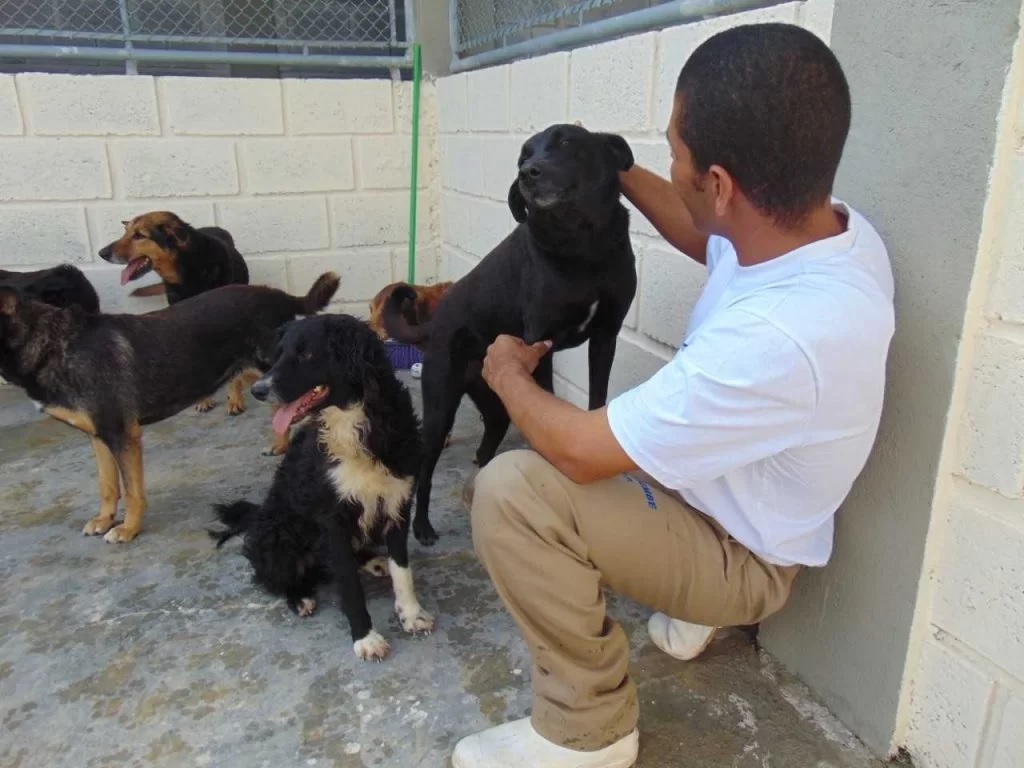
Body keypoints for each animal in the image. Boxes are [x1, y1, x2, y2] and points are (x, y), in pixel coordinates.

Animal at [99, 210, 258, 421]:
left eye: (139, 235)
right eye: (125, 232)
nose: (102, 253)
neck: (188, 273)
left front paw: (234, 400)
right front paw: (203, 399)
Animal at [207, 313, 432, 663]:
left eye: (307, 354)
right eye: (278, 354)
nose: (258, 389)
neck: (357, 423)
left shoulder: (397, 501)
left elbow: (402, 569)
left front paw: (411, 613)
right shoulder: (332, 520)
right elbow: (350, 586)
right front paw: (365, 637)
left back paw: (372, 560)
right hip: (277, 535)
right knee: (274, 578)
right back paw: (300, 597)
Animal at [385, 123, 638, 544]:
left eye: (567, 140)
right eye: (523, 156)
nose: (527, 174)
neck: (583, 245)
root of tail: (434, 323)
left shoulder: (606, 336)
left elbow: (597, 399)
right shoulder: (540, 345)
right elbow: (547, 399)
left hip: (494, 399)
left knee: (489, 440)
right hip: (440, 407)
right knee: (424, 470)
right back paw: (421, 526)